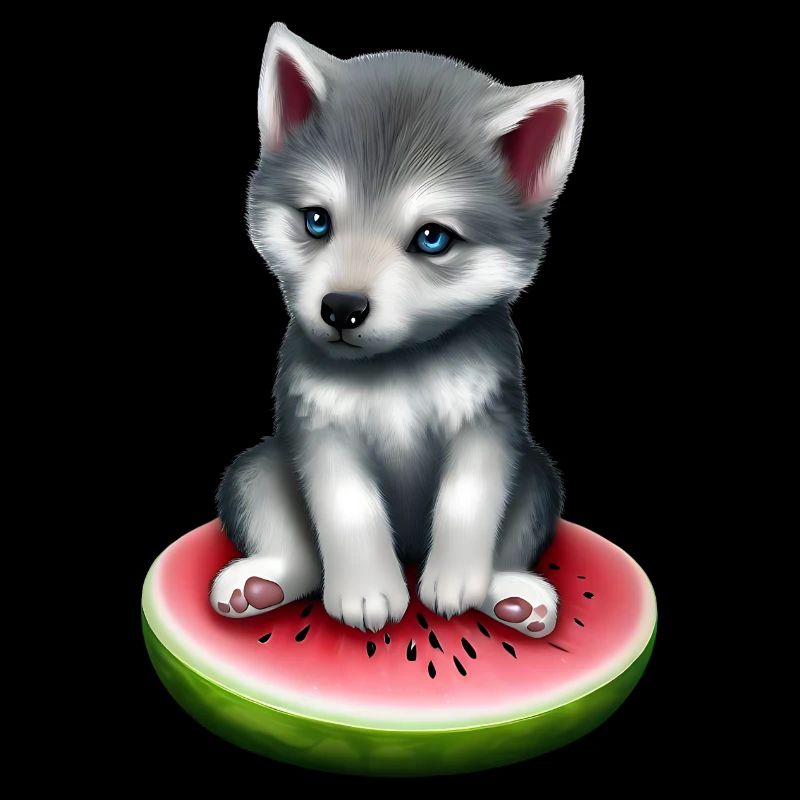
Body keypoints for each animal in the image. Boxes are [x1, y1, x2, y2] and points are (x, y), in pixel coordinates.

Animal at [211, 23, 584, 638]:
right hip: (257, 469)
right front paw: (366, 592)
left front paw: (455, 582)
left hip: (537, 477)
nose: (341, 309)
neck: (395, 368)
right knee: (284, 529)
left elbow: (469, 499)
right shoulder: (318, 424)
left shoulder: (489, 420)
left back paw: (512, 594)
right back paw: (261, 584)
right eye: (317, 221)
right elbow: (348, 507)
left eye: (432, 238)